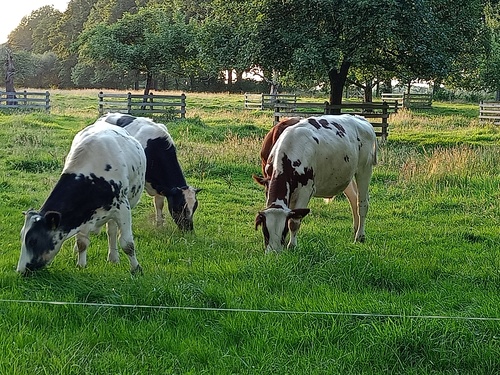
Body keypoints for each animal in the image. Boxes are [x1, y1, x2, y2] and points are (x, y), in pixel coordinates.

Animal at [17, 120, 146, 274]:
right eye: (22, 237)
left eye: (33, 241)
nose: (20, 270)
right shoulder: (82, 214)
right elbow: (82, 243)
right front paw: (81, 265)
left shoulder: (123, 207)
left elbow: (127, 243)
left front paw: (136, 268)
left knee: (112, 230)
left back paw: (113, 257)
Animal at [254, 114, 376, 253]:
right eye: (265, 230)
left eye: (283, 230)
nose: (274, 252)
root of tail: (361, 118)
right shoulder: (269, 184)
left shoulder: (305, 190)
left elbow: (294, 221)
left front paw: (291, 246)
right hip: (346, 174)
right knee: (353, 199)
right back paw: (355, 230)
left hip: (364, 169)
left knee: (362, 203)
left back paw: (360, 236)